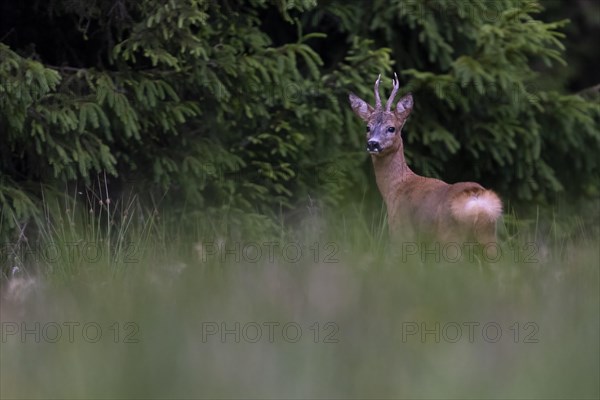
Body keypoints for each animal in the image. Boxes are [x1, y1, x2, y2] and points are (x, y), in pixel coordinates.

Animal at [346, 74, 502, 245]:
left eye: (391, 128)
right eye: (368, 127)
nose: (373, 143)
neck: (395, 188)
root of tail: (476, 199)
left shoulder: (400, 229)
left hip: (449, 235)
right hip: (488, 236)